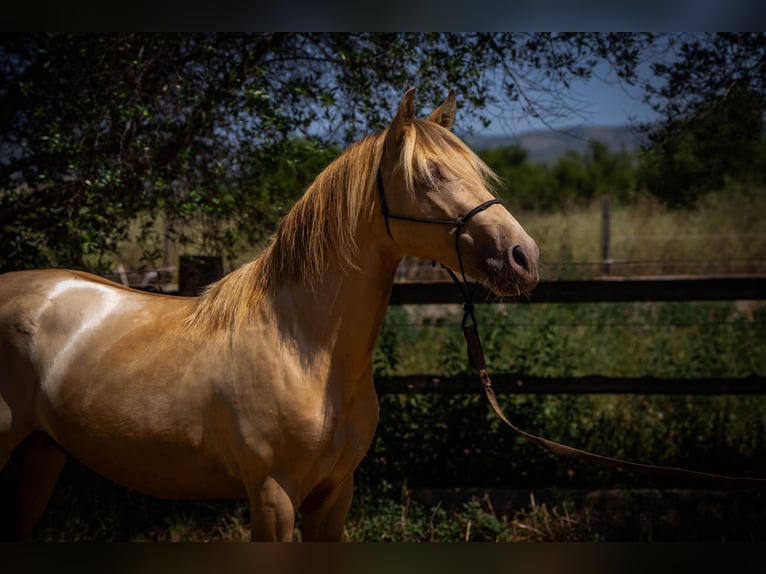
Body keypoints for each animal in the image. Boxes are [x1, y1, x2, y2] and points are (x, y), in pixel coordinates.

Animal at [0, 88, 539, 541]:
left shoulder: (334, 498)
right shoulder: (273, 496)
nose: (524, 256)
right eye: (430, 175)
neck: (304, 350)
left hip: (39, 456)